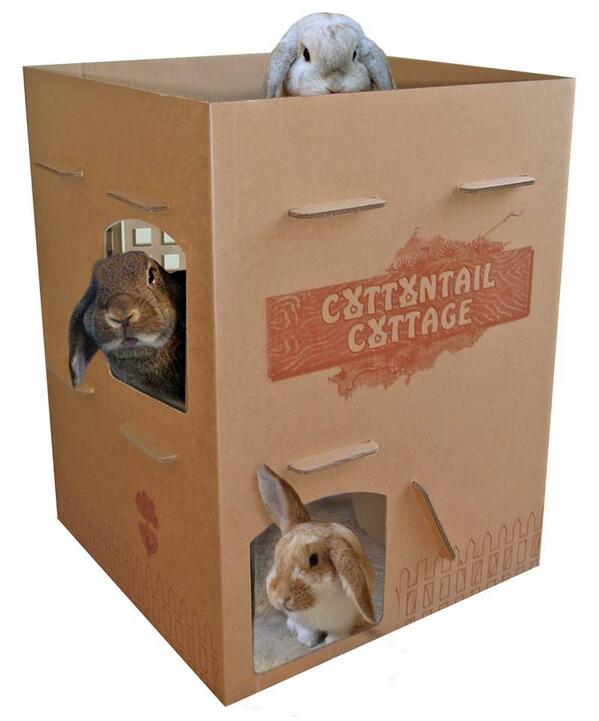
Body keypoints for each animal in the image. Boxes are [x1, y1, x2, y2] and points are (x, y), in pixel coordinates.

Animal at [256, 465, 376, 647]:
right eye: (276, 553)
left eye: (313, 560)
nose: (282, 598)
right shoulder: (304, 623)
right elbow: (307, 631)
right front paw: (307, 642)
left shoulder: (342, 623)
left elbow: (337, 634)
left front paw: (331, 642)